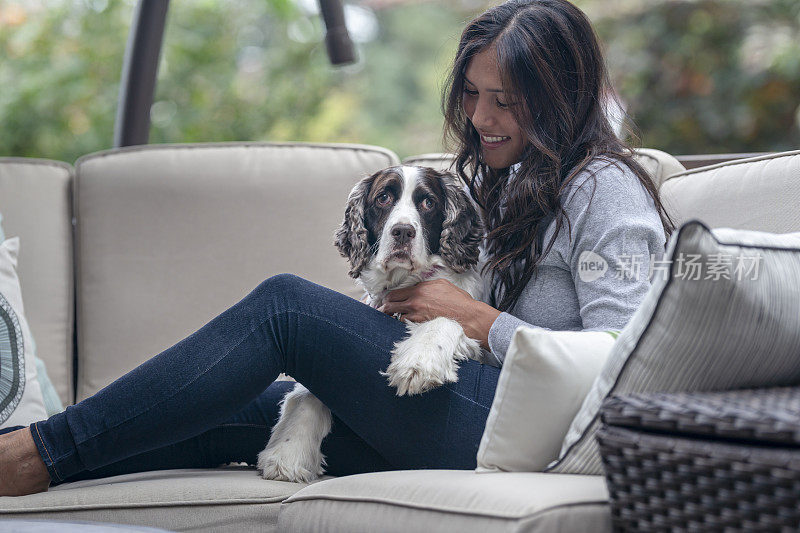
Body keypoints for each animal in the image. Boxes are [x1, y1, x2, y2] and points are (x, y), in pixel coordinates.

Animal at [258, 164, 482, 480]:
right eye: (383, 198)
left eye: (428, 202)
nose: (403, 231)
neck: (402, 282)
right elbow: (307, 391)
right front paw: (288, 452)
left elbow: (445, 318)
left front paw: (419, 362)